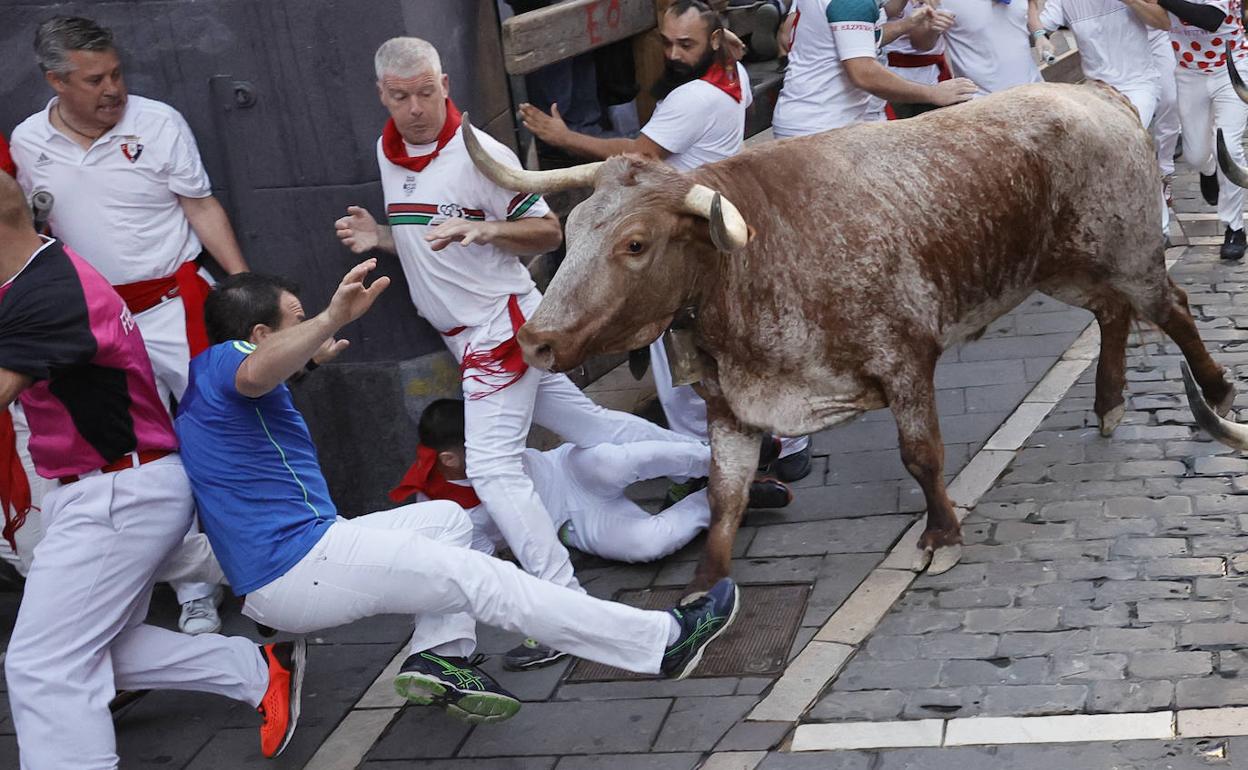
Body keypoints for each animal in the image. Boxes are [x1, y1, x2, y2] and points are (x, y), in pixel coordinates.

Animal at [469, 82, 1238, 589]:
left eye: (634, 244)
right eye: (571, 230)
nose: (535, 342)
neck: (754, 262)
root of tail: (1093, 92)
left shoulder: (905, 361)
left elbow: (921, 456)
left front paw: (941, 534)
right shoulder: (733, 406)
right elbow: (723, 497)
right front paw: (705, 588)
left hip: (1129, 252)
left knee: (1172, 308)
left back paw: (1217, 389)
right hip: (1062, 267)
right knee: (1113, 315)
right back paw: (1109, 402)